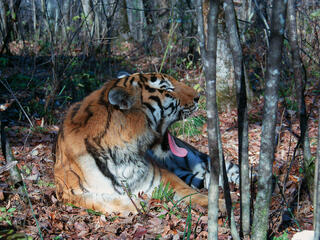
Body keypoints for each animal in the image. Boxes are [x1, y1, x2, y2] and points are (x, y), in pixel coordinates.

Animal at [53, 72, 209, 215]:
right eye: (167, 89)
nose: (198, 97)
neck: (123, 152)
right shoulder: (68, 191)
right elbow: (99, 201)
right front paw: (136, 204)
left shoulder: (163, 176)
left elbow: (191, 193)